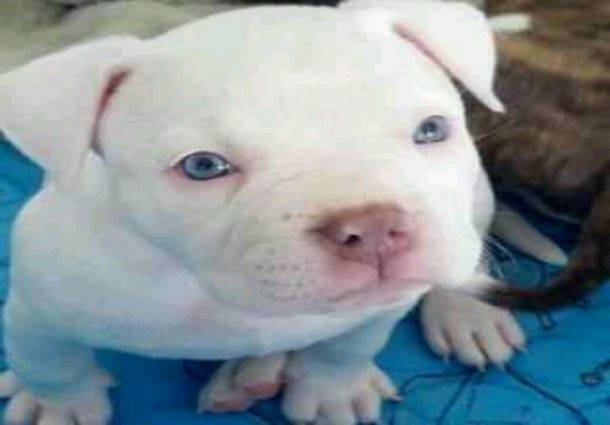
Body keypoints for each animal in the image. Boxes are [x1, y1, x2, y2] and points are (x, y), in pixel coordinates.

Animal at [0, 1, 508, 422]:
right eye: (203, 166)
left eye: (431, 129)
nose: (373, 227)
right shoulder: (36, 305)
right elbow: (47, 360)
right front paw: (56, 406)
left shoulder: (384, 306)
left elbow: (349, 345)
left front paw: (333, 389)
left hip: (476, 201)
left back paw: (469, 313)